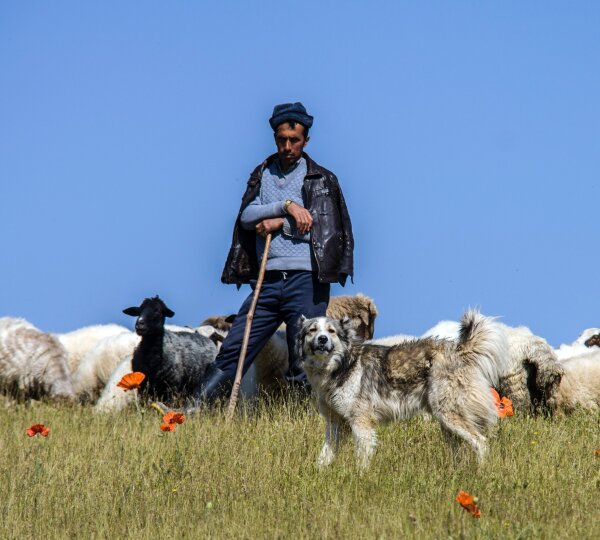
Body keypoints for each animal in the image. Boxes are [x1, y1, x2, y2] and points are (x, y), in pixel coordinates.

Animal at [298, 312, 508, 468]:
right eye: (312, 330)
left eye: (331, 331)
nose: (322, 339)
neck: (342, 365)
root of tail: (459, 350)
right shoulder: (335, 424)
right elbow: (324, 455)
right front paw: (318, 474)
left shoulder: (361, 422)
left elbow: (362, 457)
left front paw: (359, 478)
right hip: (447, 423)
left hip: (450, 414)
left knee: (480, 442)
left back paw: (480, 473)